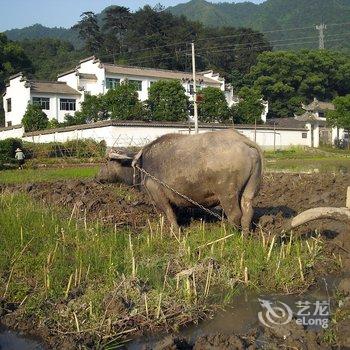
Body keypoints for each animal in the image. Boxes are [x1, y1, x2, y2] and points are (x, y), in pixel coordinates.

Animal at [96, 129, 262, 232]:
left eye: (107, 162)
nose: (97, 177)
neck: (142, 165)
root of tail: (242, 140)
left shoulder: (157, 193)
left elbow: (168, 213)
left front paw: (175, 231)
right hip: (249, 189)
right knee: (248, 211)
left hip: (227, 192)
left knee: (235, 214)